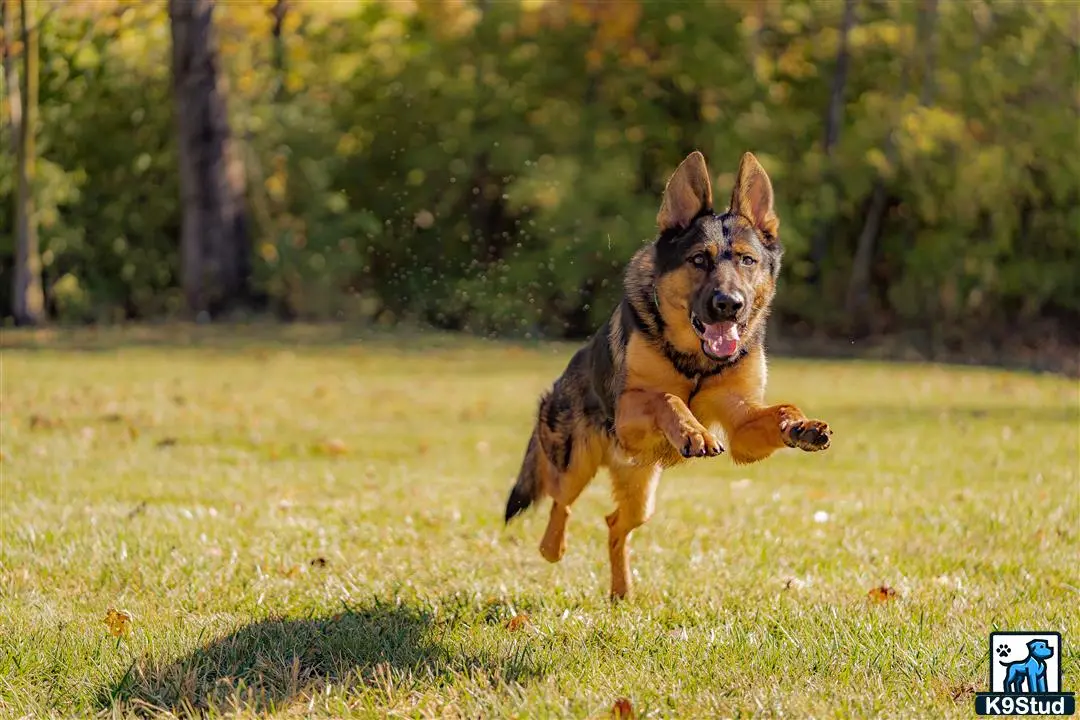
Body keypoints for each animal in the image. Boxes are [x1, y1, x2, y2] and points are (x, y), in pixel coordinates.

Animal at [501, 148, 829, 600]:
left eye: (747, 261)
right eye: (699, 260)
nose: (729, 305)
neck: (697, 362)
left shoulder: (742, 425)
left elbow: (780, 410)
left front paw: (800, 426)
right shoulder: (628, 415)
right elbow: (666, 398)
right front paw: (692, 431)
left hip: (641, 495)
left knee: (614, 524)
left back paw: (621, 591)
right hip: (575, 464)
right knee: (559, 501)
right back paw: (553, 547)